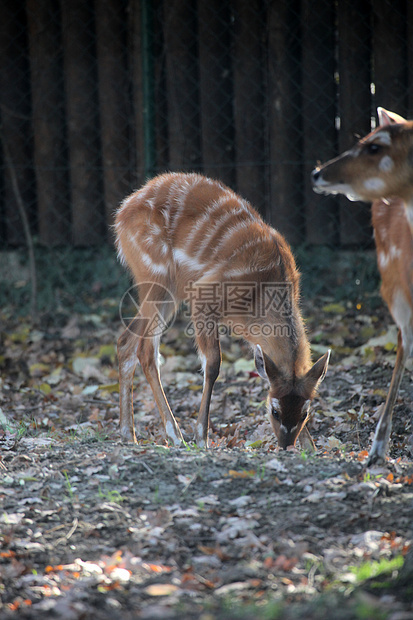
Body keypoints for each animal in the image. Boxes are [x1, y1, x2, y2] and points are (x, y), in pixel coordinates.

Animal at [114, 173, 330, 450]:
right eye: (274, 411)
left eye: (305, 413)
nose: (285, 444)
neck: (263, 291)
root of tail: (122, 212)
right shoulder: (203, 296)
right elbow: (213, 363)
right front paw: (201, 437)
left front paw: (311, 447)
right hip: (156, 277)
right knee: (145, 349)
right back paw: (175, 435)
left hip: (168, 290)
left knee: (127, 342)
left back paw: (128, 433)